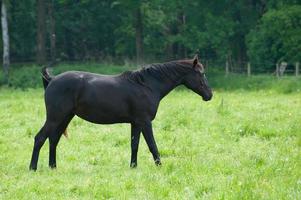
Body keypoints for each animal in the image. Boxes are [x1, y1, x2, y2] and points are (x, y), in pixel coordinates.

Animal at [28, 54, 211, 170]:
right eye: (201, 73)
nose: (210, 94)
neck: (146, 85)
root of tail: (52, 80)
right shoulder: (145, 121)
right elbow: (152, 145)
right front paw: (160, 166)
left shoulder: (135, 123)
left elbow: (134, 145)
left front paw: (133, 167)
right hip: (55, 118)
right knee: (40, 138)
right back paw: (33, 168)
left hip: (65, 118)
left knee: (53, 140)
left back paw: (53, 167)